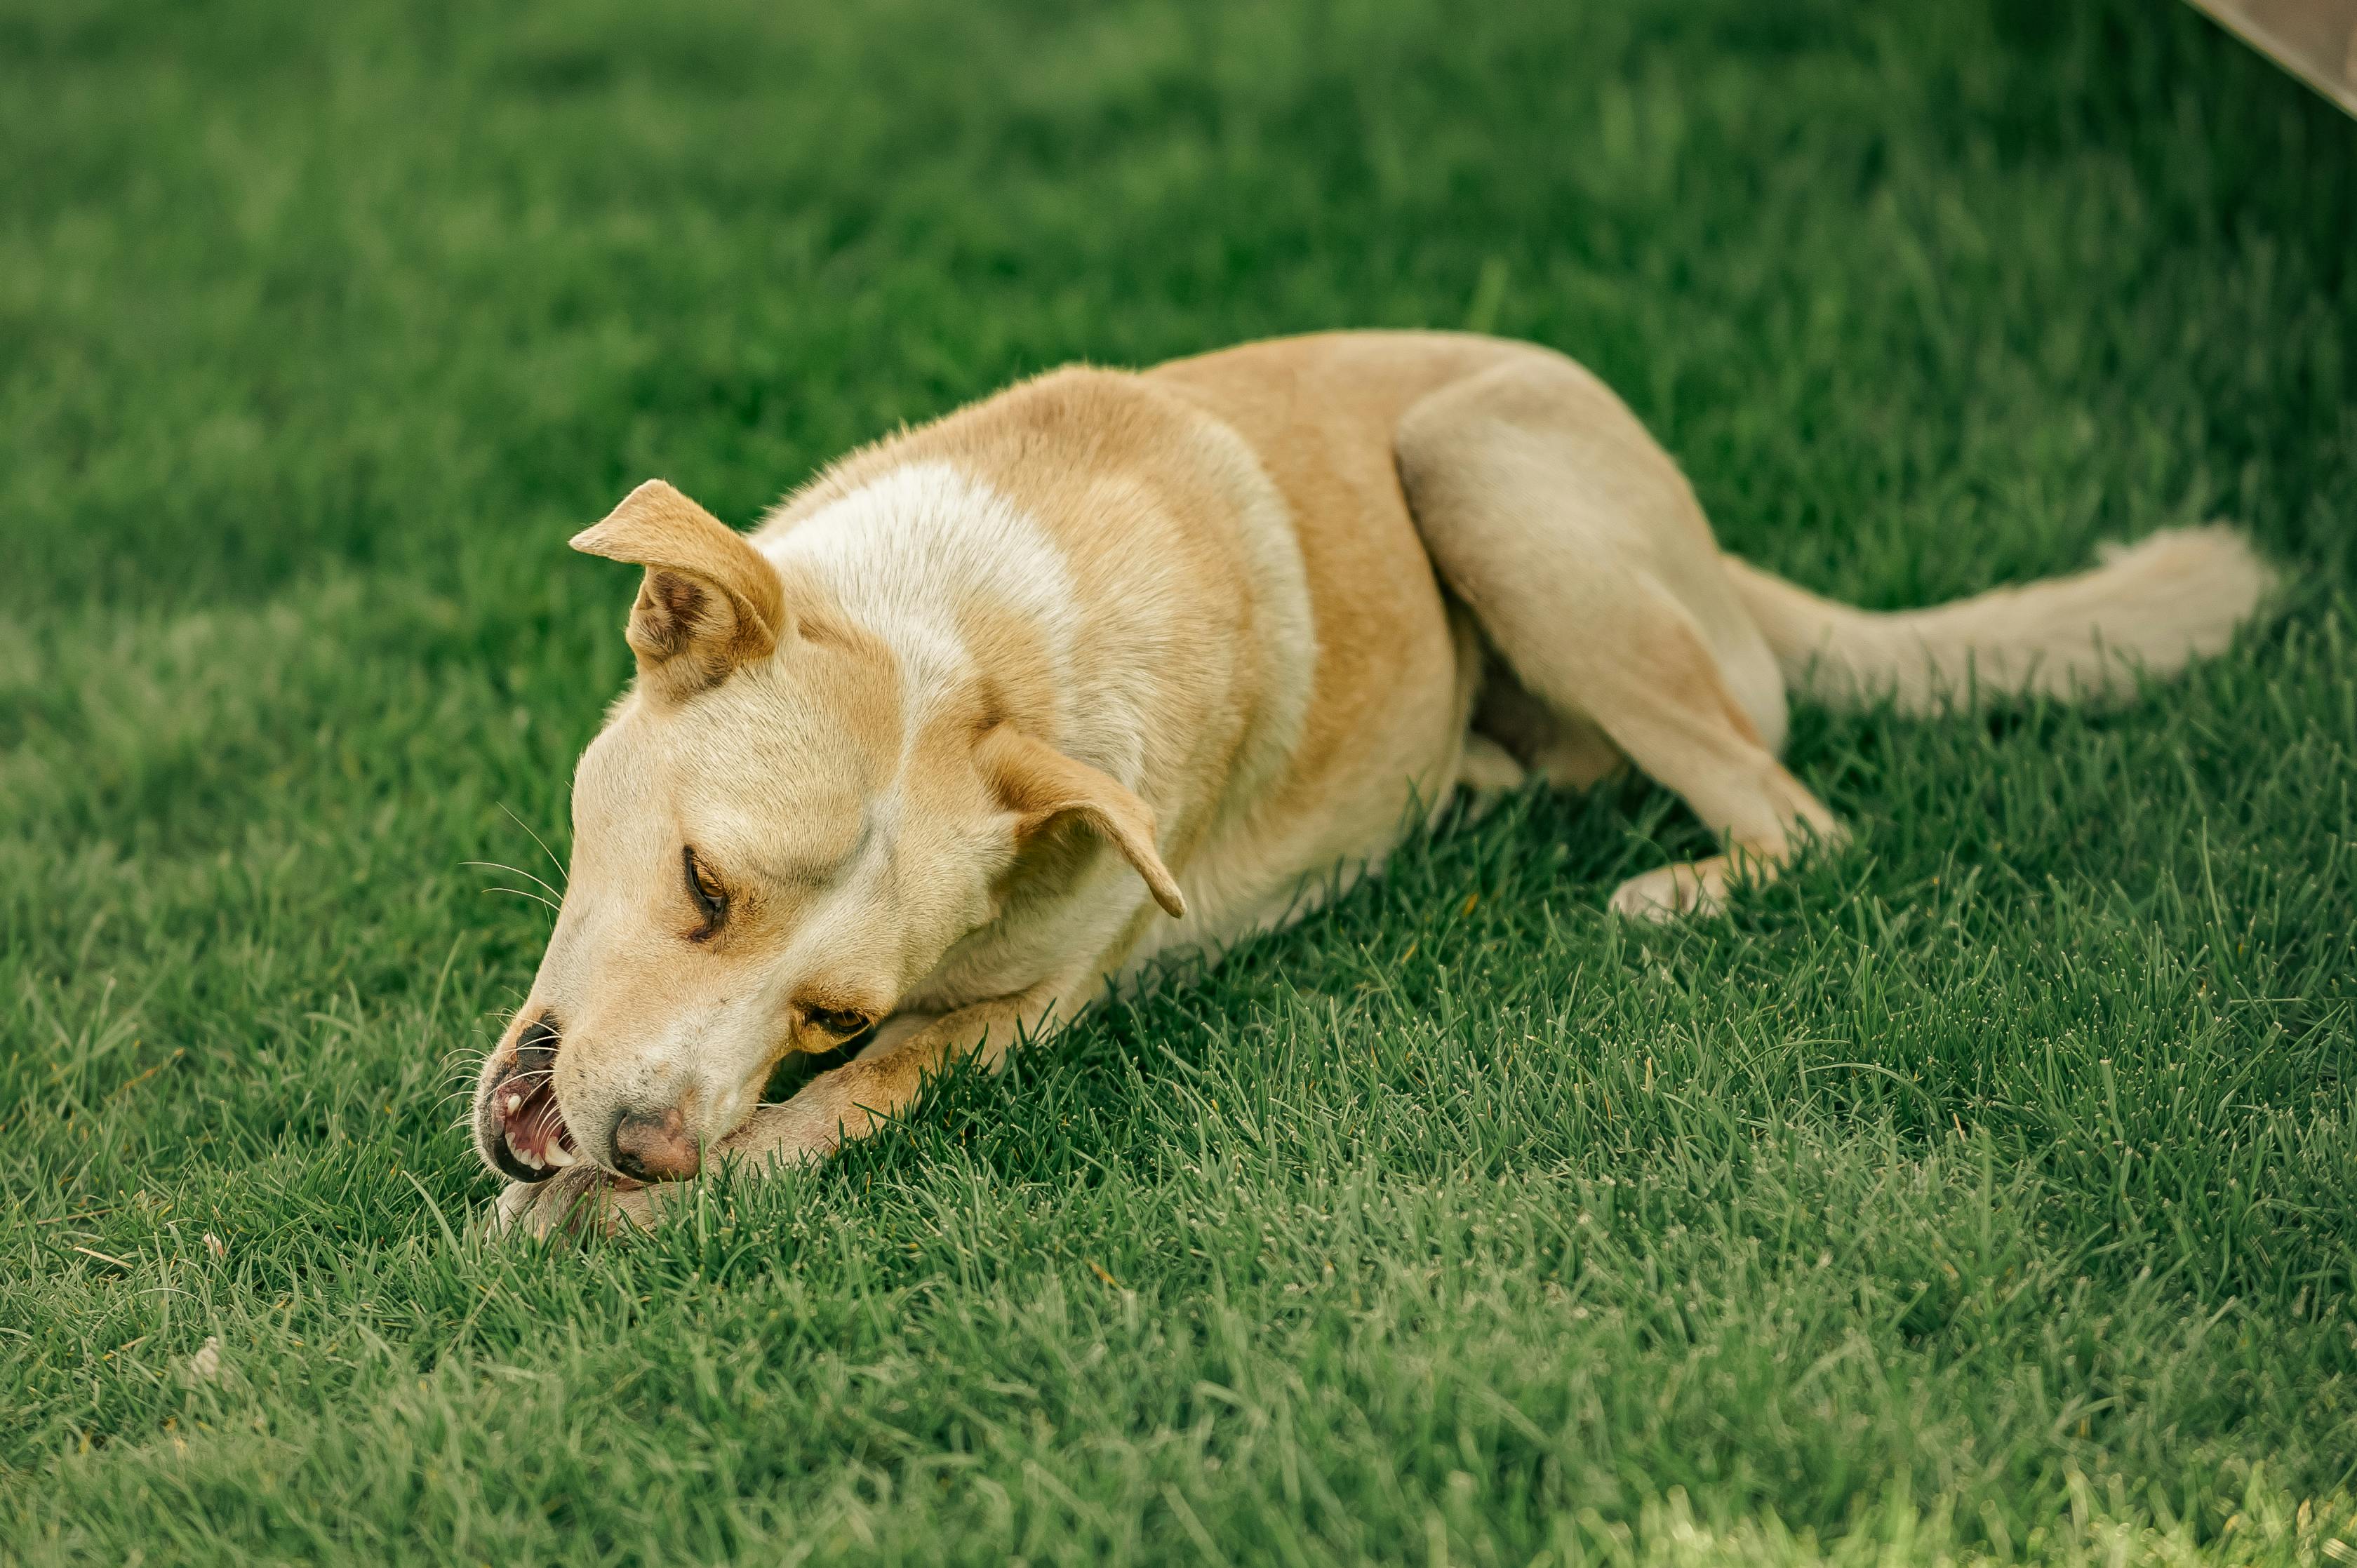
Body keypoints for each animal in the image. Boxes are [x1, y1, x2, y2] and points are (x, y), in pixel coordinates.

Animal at [474, 330, 2262, 1235]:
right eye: (704, 886)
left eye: (832, 1008)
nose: (644, 1146)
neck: (970, 643)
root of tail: (1702, 535)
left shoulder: (1024, 1013)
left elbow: (843, 1115)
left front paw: (625, 1214)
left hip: (1478, 465)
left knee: (1793, 812)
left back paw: (1675, 888)